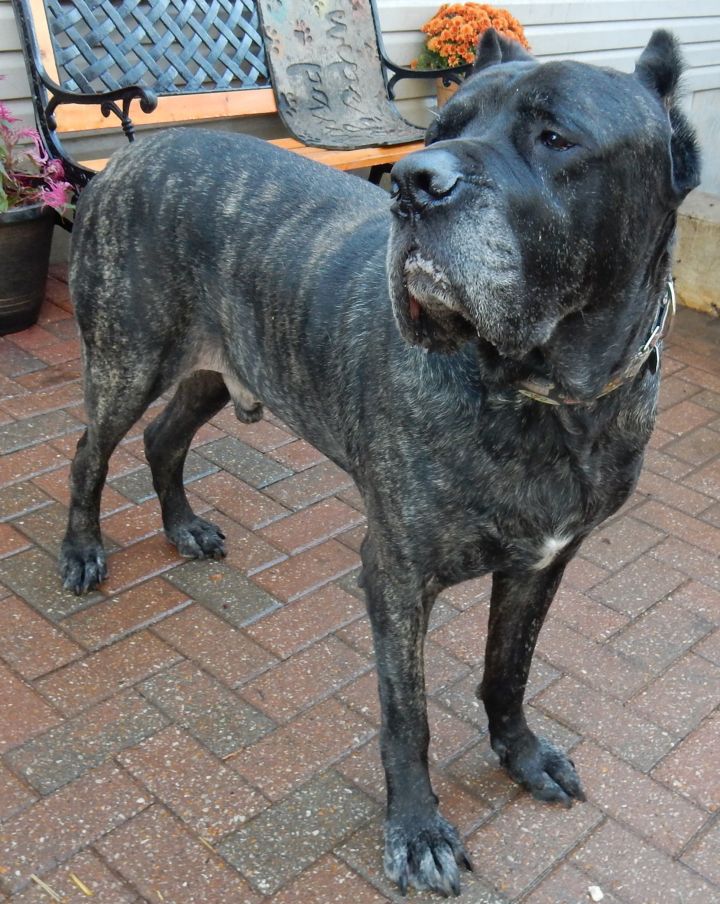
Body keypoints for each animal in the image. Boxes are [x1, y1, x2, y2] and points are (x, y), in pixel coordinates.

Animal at [63, 28, 696, 896]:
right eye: (440, 129)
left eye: (555, 136)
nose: (412, 182)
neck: (550, 398)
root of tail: (128, 156)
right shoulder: (396, 572)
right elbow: (408, 715)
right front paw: (418, 830)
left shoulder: (543, 562)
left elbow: (510, 668)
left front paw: (522, 754)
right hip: (130, 355)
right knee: (89, 453)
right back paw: (82, 549)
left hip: (219, 365)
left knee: (165, 438)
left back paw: (184, 527)